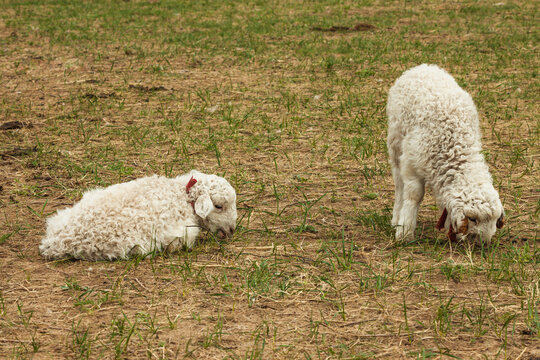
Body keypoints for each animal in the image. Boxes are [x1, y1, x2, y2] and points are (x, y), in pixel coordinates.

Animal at [386, 64, 504, 243]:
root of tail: (423, 67)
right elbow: (414, 196)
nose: (483, 243)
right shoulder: (411, 164)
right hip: (395, 142)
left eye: (495, 220)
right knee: (399, 183)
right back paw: (396, 217)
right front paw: (405, 232)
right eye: (472, 219)